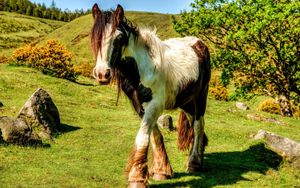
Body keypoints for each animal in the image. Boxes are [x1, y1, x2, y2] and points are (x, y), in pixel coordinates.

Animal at [90, 3, 210, 187]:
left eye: (119, 37)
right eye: (96, 35)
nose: (102, 74)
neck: (142, 68)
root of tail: (199, 43)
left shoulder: (154, 105)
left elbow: (143, 137)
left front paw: (137, 178)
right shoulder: (140, 106)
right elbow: (154, 135)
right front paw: (161, 171)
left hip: (200, 97)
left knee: (198, 125)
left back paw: (194, 164)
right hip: (186, 101)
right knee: (194, 124)